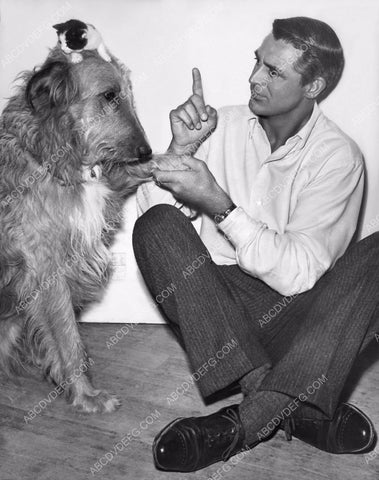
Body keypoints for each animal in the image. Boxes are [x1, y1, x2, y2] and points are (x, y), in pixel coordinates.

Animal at [0, 41, 154, 412]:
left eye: (128, 93)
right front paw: (86, 394)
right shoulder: (48, 270)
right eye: (109, 95)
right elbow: (68, 337)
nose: (146, 151)